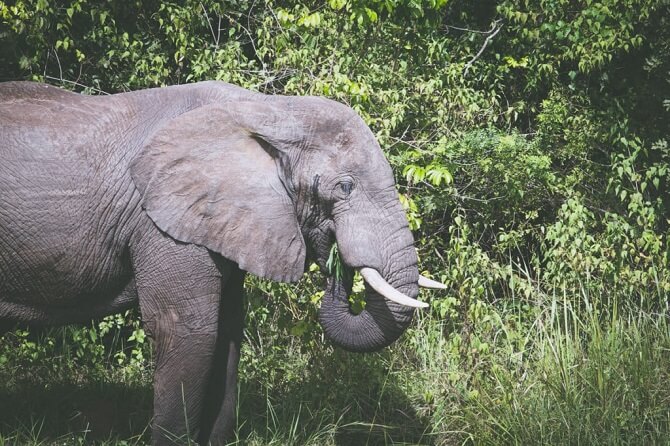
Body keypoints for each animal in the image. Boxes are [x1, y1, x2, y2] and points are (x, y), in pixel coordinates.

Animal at [0, 82, 446, 444]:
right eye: (345, 187)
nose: (338, 264)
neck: (269, 109)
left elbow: (228, 333)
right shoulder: (162, 222)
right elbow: (189, 331)